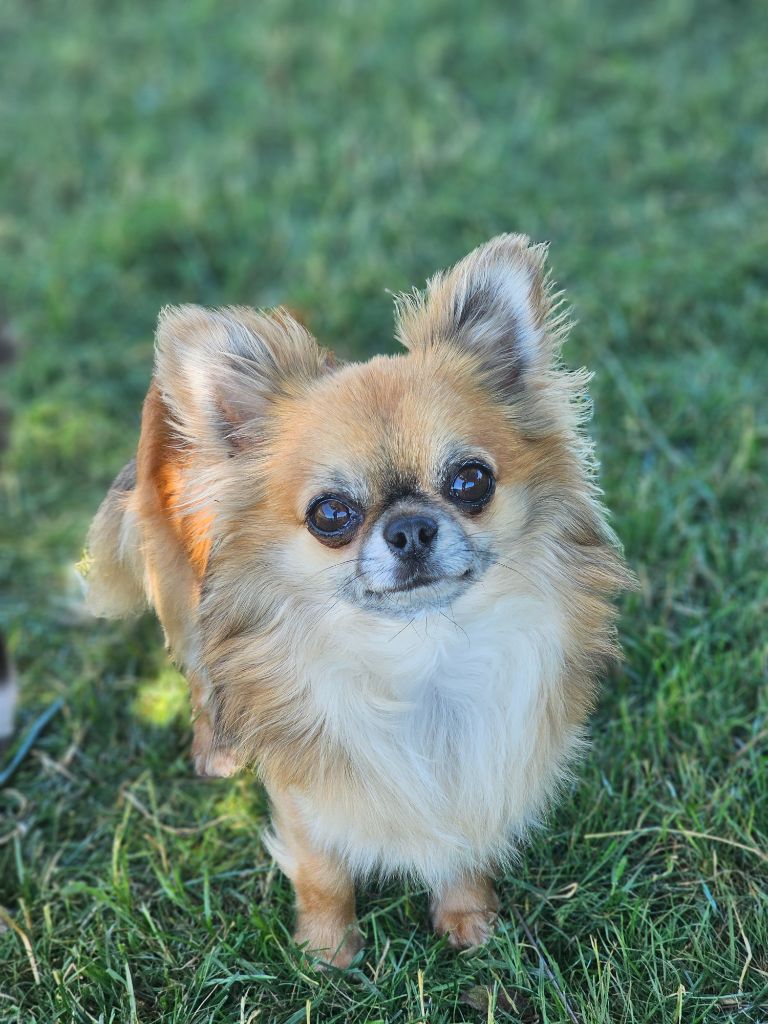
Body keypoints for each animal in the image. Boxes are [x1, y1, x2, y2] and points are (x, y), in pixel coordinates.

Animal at [83, 235, 630, 962]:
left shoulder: (476, 770)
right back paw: (217, 747)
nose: (410, 528)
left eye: (471, 481)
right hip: (184, 604)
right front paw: (328, 950)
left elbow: (461, 844)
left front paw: (468, 918)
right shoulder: (302, 787)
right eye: (331, 515)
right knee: (202, 678)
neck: (421, 654)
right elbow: (323, 871)